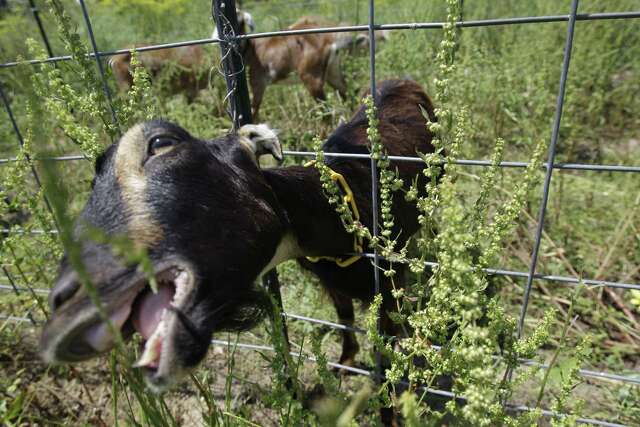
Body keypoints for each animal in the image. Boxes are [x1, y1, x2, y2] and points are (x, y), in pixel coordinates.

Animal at [40, 79, 435, 398]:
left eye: (162, 142)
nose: (63, 304)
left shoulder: (387, 292)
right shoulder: (331, 282)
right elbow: (345, 321)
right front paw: (342, 367)